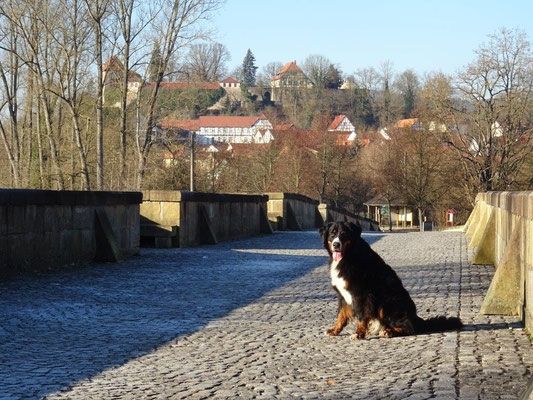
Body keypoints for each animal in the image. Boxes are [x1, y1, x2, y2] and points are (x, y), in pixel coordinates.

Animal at [320, 220, 462, 340]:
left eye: (344, 234)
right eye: (332, 233)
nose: (336, 244)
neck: (348, 256)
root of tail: (415, 317)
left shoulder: (361, 294)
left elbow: (361, 316)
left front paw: (358, 333)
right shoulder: (342, 295)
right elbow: (341, 315)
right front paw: (334, 330)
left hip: (386, 303)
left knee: (409, 328)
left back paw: (389, 331)